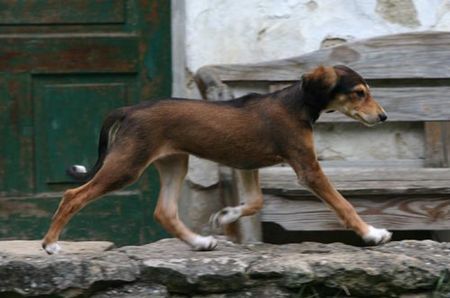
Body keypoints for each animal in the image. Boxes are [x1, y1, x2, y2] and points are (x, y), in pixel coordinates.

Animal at [44, 64, 392, 254]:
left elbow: (255, 202)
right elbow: (343, 205)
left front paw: (224, 216)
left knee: (164, 211)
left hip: (174, 162)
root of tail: (130, 109)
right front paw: (371, 233)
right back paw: (50, 244)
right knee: (73, 195)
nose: (384, 117)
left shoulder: (249, 166)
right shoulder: (308, 169)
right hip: (126, 166)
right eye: (359, 93)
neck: (296, 103)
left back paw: (199, 242)